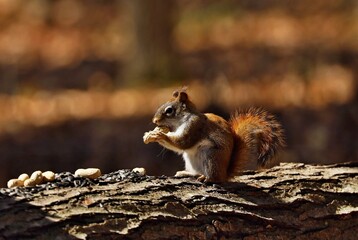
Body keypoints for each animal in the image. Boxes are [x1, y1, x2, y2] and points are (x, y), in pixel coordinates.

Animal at [143, 88, 286, 182]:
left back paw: (207, 178)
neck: (183, 120)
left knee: (215, 178)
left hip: (211, 157)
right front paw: (152, 134)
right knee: (196, 172)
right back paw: (186, 174)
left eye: (169, 110)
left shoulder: (195, 126)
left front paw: (159, 135)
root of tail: (225, 174)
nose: (154, 121)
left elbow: (183, 142)